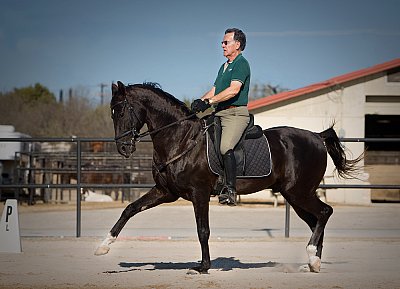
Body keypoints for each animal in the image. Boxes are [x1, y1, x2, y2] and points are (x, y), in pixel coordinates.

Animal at [94, 80, 362, 272]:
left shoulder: (199, 193)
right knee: (316, 220)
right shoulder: (165, 192)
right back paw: (314, 262)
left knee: (325, 212)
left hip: (299, 192)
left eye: (121, 111)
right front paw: (103, 246)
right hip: (295, 196)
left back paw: (312, 257)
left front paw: (203, 267)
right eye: (112, 112)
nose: (124, 148)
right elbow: (129, 209)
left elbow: (203, 230)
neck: (180, 138)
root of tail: (316, 136)